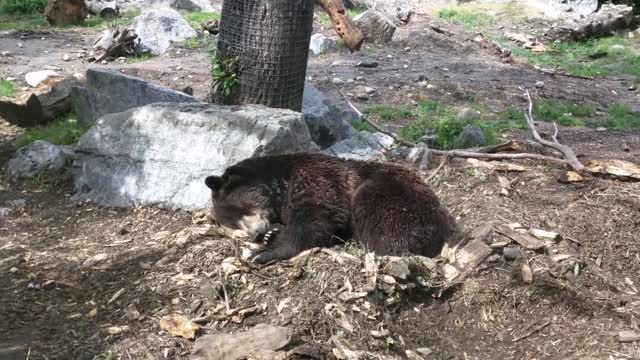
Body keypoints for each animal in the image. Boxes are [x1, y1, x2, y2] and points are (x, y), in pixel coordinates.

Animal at [202, 152, 458, 264]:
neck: (281, 183)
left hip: (394, 197)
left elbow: (316, 220)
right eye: (232, 223)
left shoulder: (315, 180)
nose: (255, 234)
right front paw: (270, 236)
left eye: (240, 210)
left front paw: (262, 252)